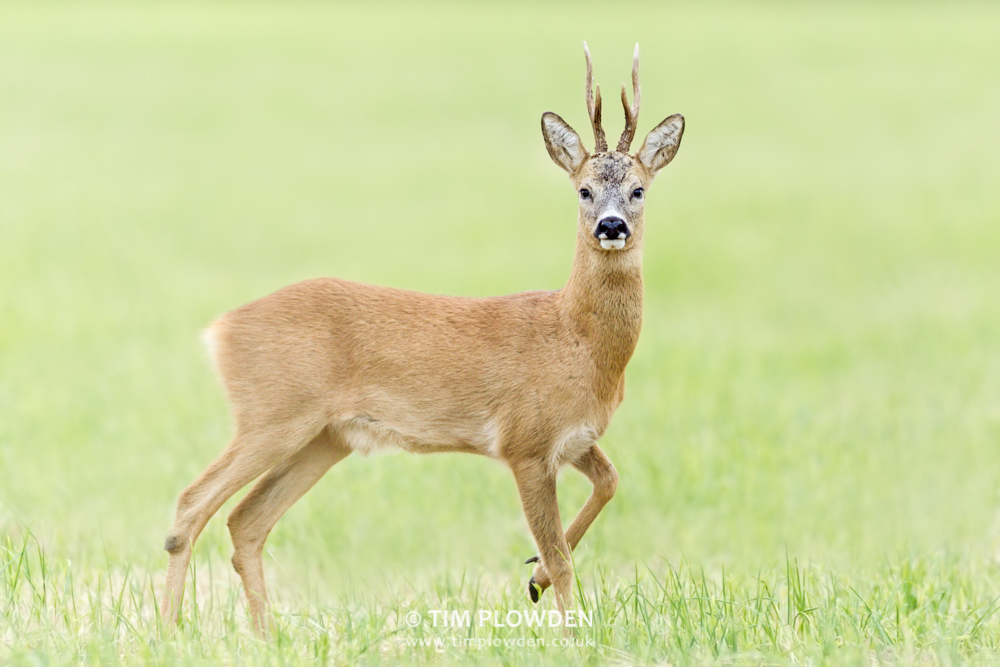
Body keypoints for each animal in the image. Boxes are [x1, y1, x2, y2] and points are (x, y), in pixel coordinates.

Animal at [160, 43, 684, 636]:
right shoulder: (524, 441)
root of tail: (219, 329)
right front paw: (571, 631)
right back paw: (169, 631)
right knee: (192, 504)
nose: (611, 226)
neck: (579, 341)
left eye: (639, 189)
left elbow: (610, 484)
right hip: (272, 413)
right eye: (584, 190)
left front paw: (532, 579)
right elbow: (561, 555)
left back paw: (266, 636)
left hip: (326, 437)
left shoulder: (573, 437)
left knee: (245, 520)